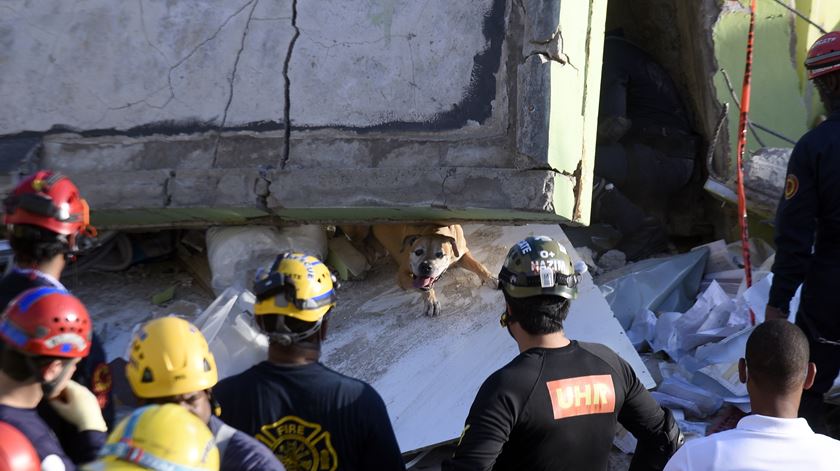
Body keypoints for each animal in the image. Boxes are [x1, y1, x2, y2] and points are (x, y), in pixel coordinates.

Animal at [342, 225, 498, 318]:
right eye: (418, 252)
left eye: (440, 254)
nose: (425, 267)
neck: (435, 228)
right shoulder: (403, 275)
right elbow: (422, 287)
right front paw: (431, 301)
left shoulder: (462, 253)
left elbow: (478, 265)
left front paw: (490, 278)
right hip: (359, 229)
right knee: (355, 242)